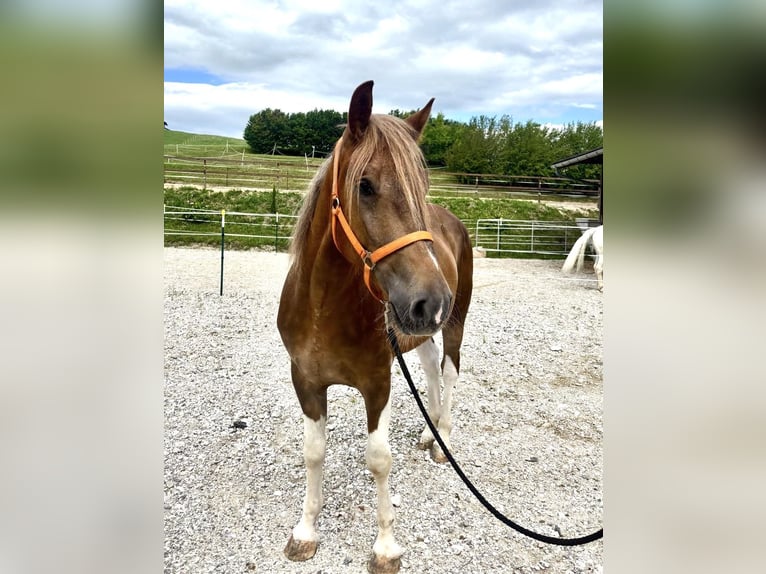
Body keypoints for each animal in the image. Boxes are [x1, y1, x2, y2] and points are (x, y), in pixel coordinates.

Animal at [277, 80, 473, 574]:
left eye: (422, 186)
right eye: (365, 186)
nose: (432, 300)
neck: (323, 309)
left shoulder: (377, 381)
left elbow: (379, 459)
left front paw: (385, 546)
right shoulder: (306, 380)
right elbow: (313, 452)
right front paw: (305, 531)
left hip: (454, 322)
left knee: (450, 369)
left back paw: (442, 439)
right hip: (417, 331)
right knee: (430, 368)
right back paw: (429, 429)